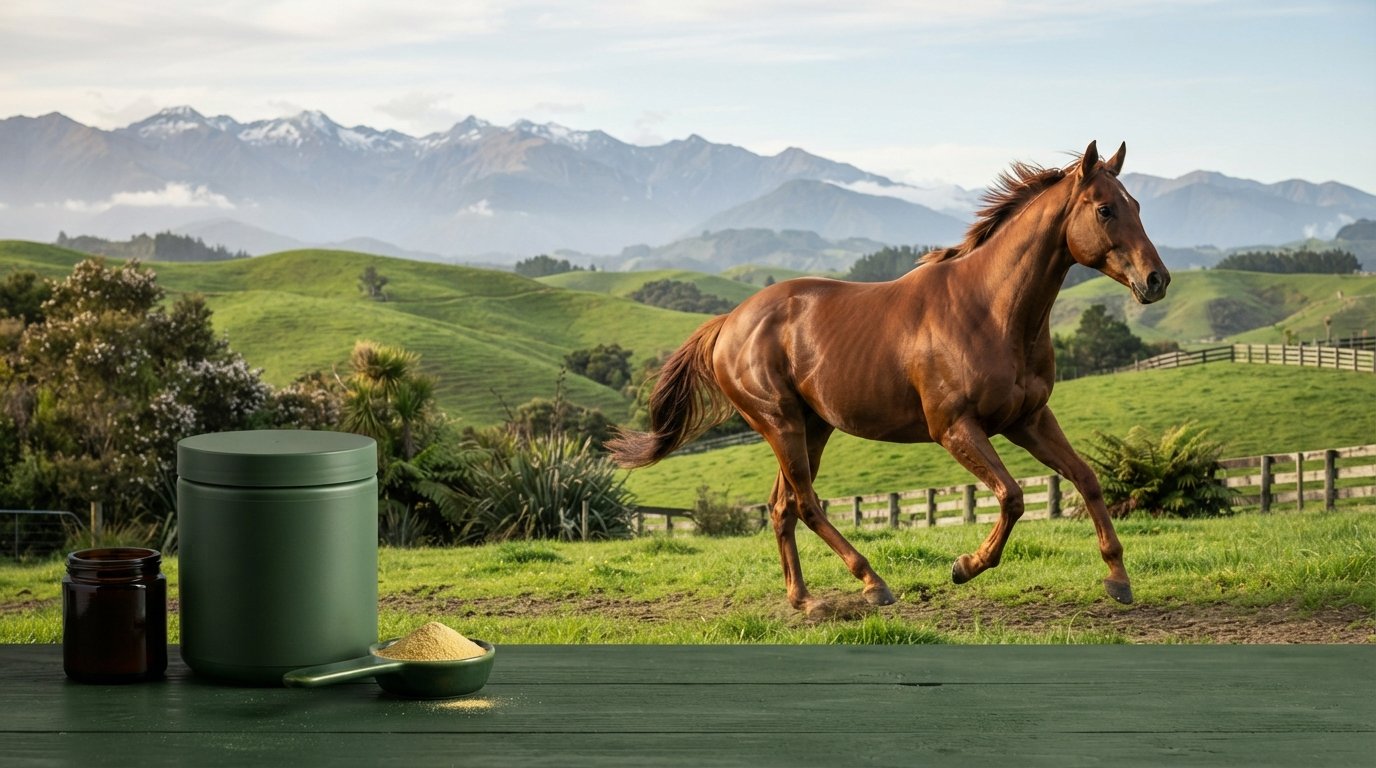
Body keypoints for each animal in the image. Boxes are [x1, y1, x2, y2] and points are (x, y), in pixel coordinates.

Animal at [608, 141, 1169, 615]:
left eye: (1139, 205)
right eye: (1104, 209)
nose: (1156, 280)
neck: (990, 310)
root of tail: (729, 322)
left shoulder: (1028, 419)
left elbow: (1086, 479)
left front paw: (1118, 580)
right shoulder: (954, 428)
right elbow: (1011, 496)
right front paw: (965, 567)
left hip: (811, 427)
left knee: (781, 506)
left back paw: (805, 600)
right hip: (780, 423)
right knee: (806, 503)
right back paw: (873, 584)